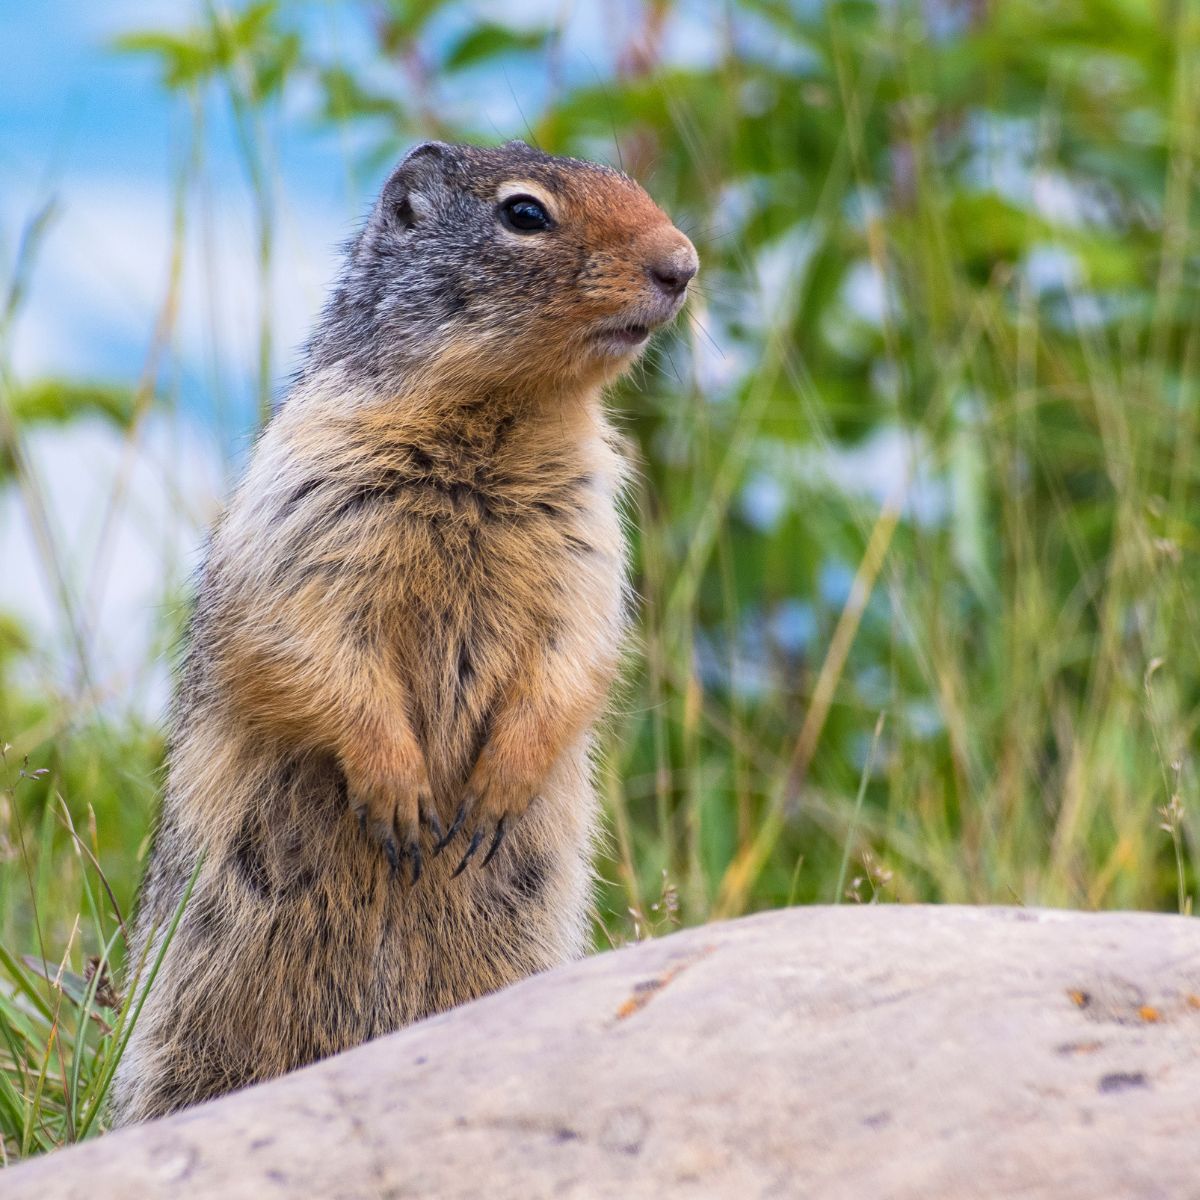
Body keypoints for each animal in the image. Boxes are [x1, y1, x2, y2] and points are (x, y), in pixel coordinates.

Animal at [108, 140, 700, 1123]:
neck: (497, 424)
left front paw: (495, 790)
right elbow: (306, 638)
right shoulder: (313, 499)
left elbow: (573, 651)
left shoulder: (589, 533)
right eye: (524, 214)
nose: (684, 265)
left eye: (633, 185)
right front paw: (402, 797)